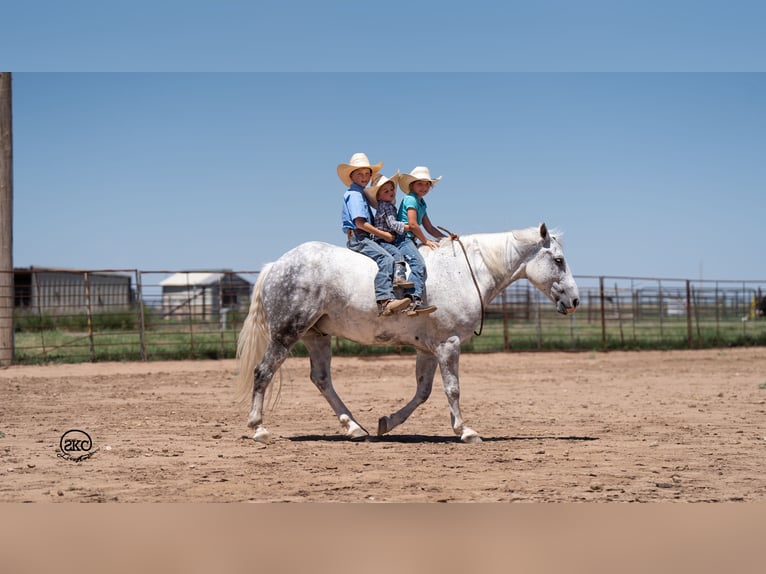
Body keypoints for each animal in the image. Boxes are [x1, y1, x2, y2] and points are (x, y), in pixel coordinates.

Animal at [237, 225, 580, 446]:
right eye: (559, 260)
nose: (575, 301)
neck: (464, 272)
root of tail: (277, 265)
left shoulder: (428, 350)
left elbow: (423, 392)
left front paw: (387, 422)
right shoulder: (449, 344)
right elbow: (452, 389)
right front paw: (466, 431)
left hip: (316, 336)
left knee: (321, 379)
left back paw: (354, 427)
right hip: (285, 334)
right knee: (263, 372)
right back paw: (259, 429)